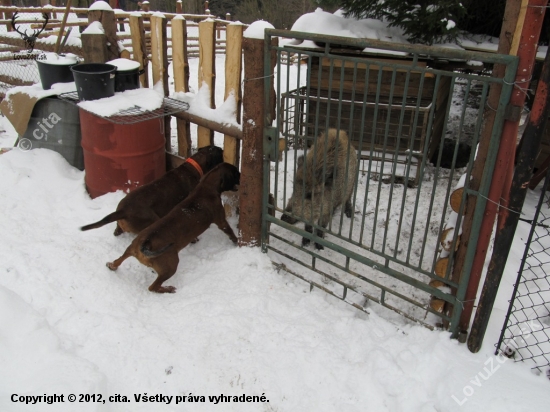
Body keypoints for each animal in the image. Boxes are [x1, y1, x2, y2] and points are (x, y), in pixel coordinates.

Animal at [106, 163, 240, 294]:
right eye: (235, 173)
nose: (241, 176)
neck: (206, 187)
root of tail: (145, 244)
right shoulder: (221, 221)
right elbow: (230, 232)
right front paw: (236, 241)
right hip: (170, 266)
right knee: (153, 287)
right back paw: (167, 289)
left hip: (131, 248)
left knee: (119, 259)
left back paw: (112, 265)